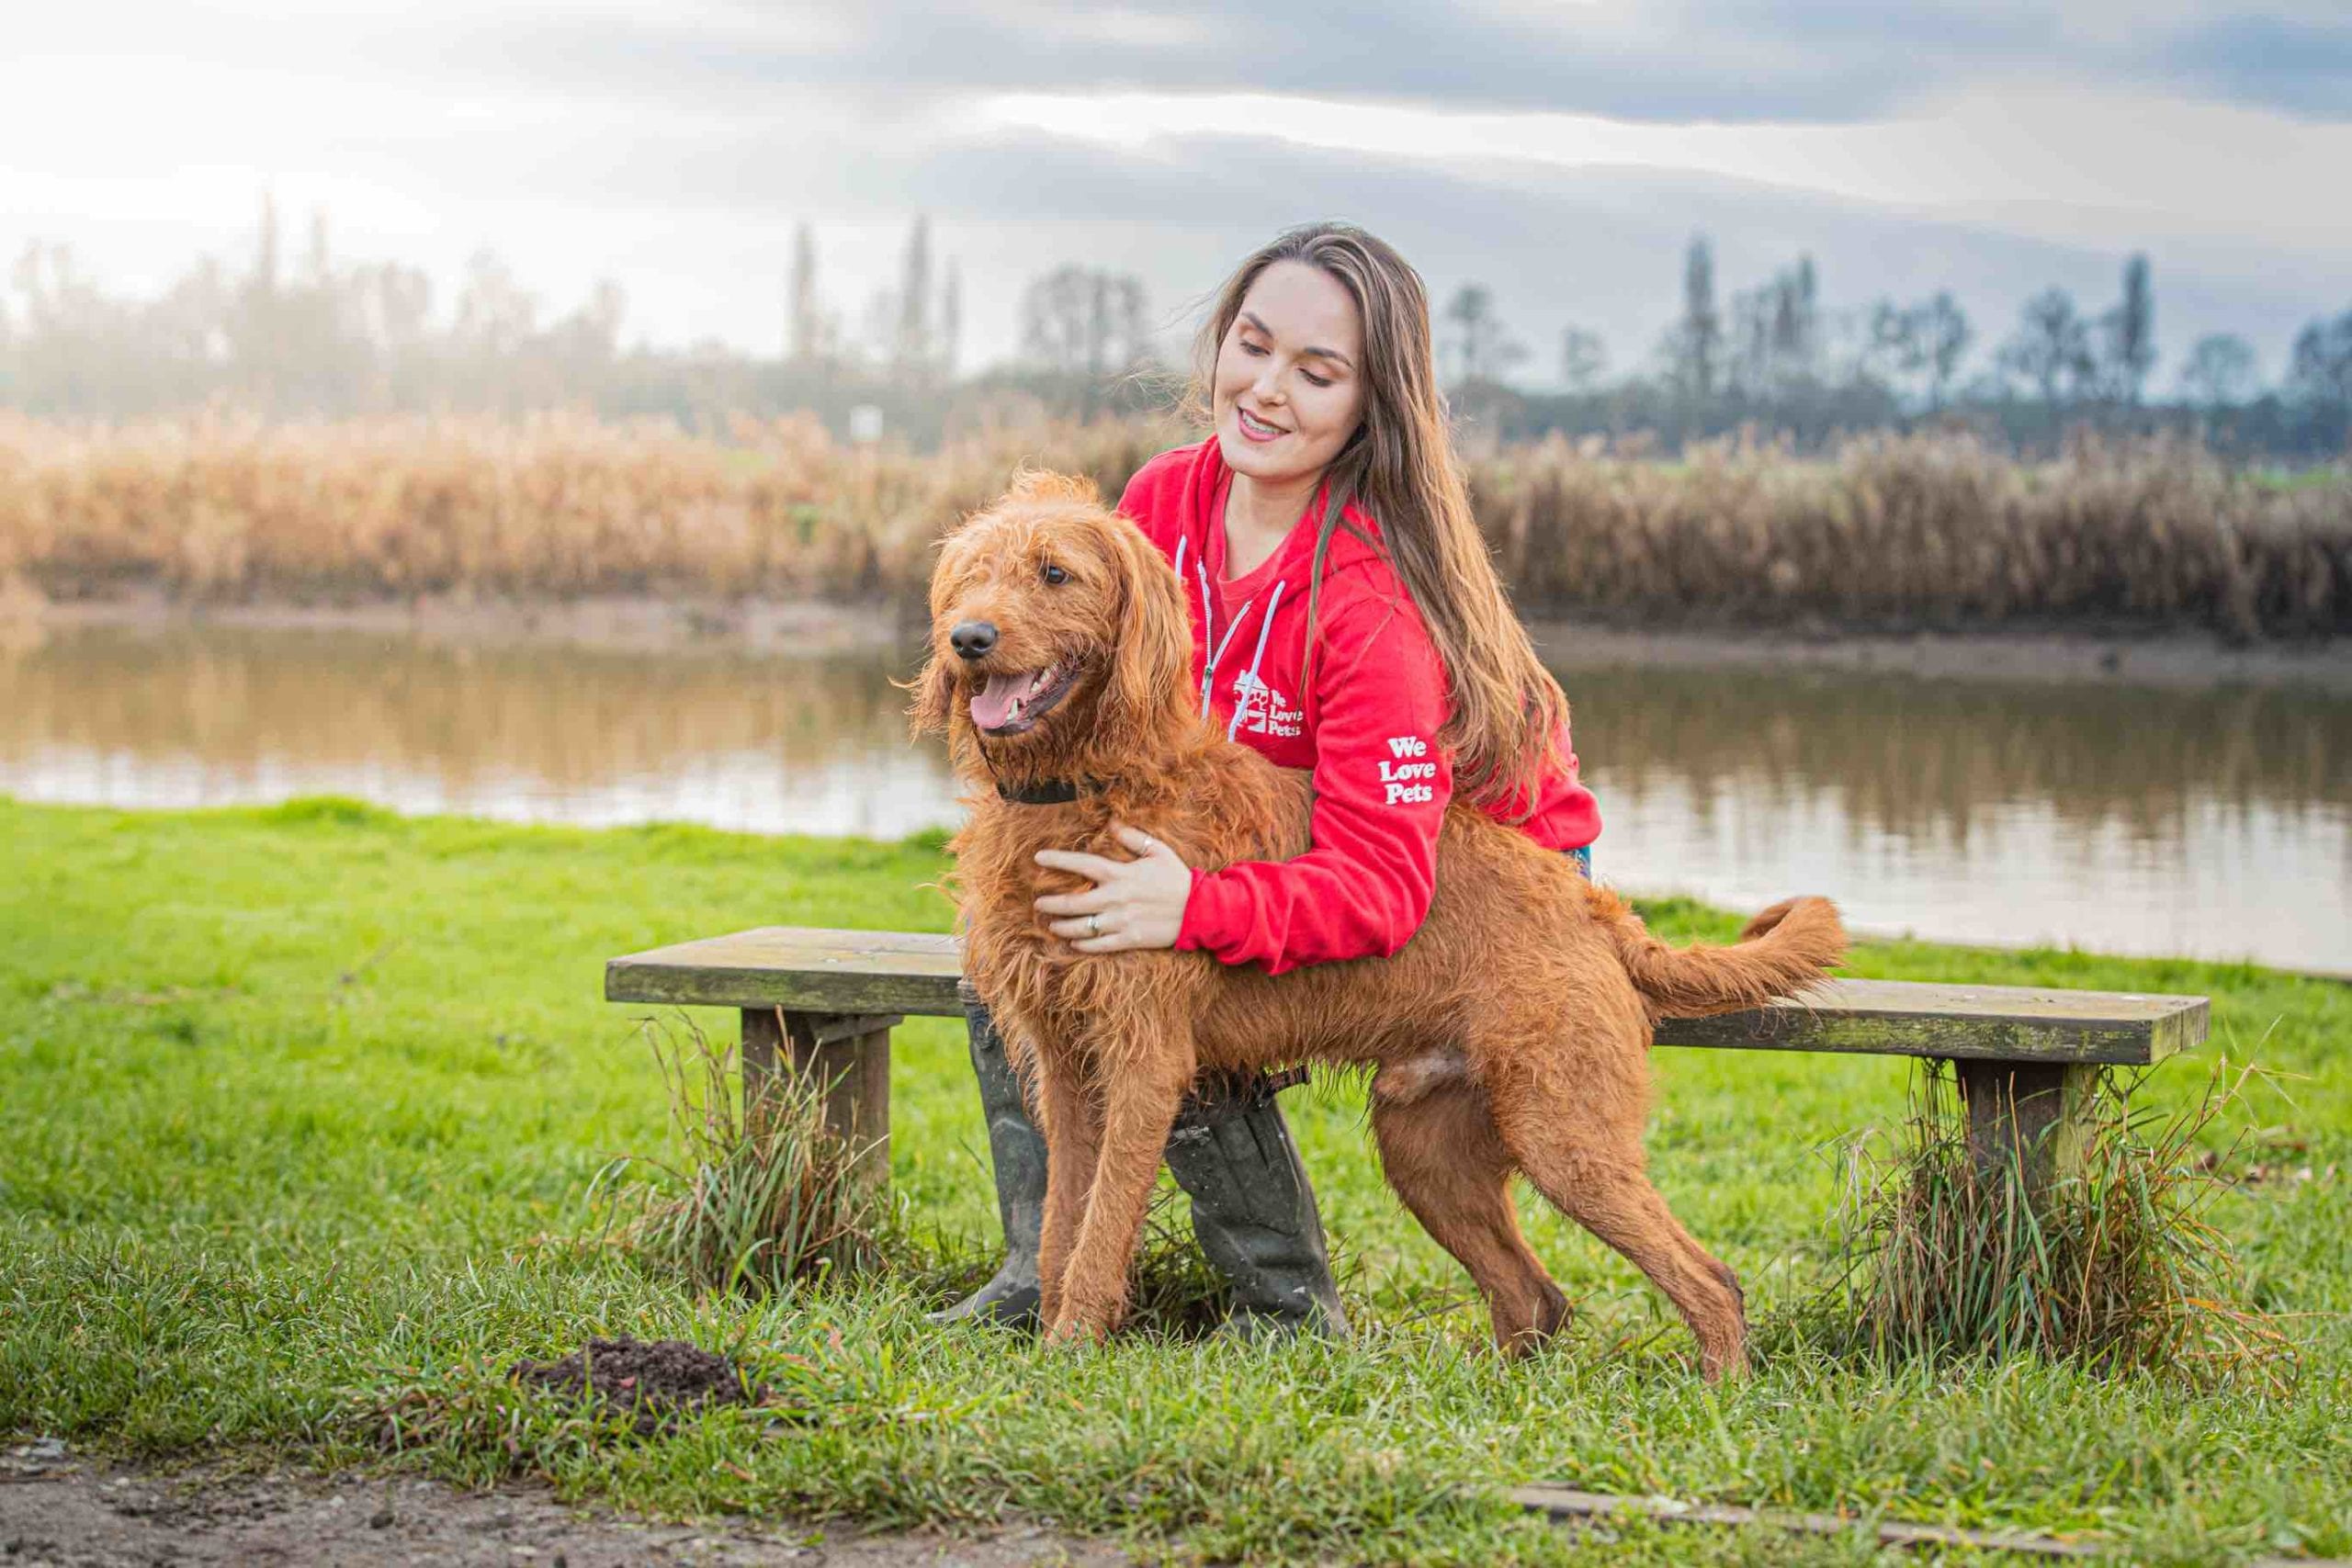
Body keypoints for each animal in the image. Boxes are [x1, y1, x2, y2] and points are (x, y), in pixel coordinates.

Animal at [908, 472, 1844, 1382]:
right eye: (972, 574)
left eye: (1055, 573)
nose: (969, 638)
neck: (1086, 787)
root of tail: (1596, 909)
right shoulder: (1066, 1069)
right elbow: (1060, 1224)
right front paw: (1046, 1333)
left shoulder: (1144, 1065)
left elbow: (1101, 1232)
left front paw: (1068, 1351)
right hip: (1426, 1148)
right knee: (1536, 1295)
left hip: (1566, 1136)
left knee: (1708, 1278)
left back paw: (1718, 1390)